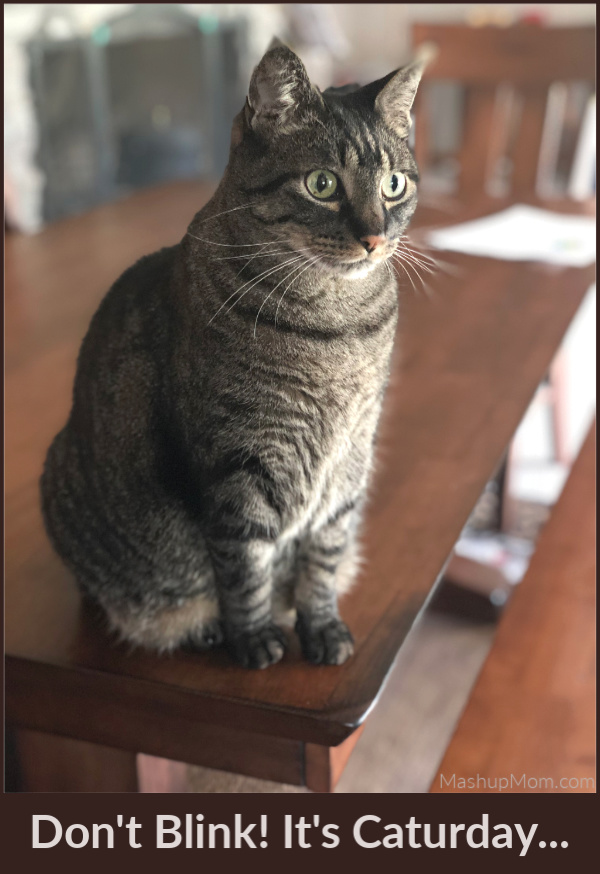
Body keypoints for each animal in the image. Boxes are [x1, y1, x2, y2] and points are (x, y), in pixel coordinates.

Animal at [39, 39, 428, 668]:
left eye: (394, 185)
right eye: (323, 184)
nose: (373, 238)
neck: (338, 325)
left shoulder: (349, 462)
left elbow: (324, 559)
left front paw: (321, 625)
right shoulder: (238, 466)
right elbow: (244, 568)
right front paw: (254, 638)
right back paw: (201, 627)